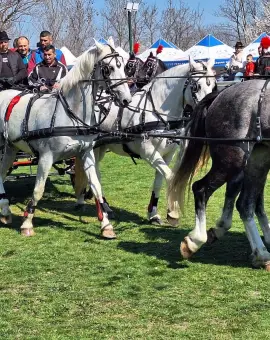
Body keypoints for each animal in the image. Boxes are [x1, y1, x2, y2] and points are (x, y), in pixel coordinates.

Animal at [0, 39, 132, 238]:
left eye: (123, 66)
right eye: (108, 69)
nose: (126, 100)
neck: (70, 112)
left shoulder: (86, 153)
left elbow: (96, 186)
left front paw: (106, 225)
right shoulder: (46, 157)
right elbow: (38, 190)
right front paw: (27, 223)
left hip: (10, 147)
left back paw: (6, 212)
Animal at [74, 59, 217, 227]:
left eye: (213, 86)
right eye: (197, 86)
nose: (209, 112)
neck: (156, 112)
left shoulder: (167, 154)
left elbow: (159, 181)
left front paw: (153, 213)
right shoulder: (149, 153)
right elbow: (171, 177)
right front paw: (173, 212)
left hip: (101, 147)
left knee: (94, 171)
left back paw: (103, 205)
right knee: (91, 173)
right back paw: (87, 201)